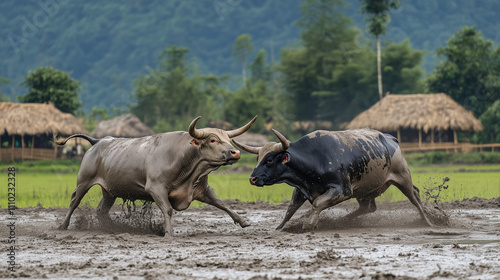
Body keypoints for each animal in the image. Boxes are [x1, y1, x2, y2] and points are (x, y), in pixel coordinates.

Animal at [234, 128, 434, 231]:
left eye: (269, 160)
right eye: (258, 158)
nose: (252, 178)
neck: (314, 157)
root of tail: (391, 138)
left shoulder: (342, 190)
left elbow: (317, 203)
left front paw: (309, 223)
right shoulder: (301, 189)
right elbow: (290, 209)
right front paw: (280, 227)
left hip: (403, 177)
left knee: (414, 197)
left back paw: (428, 221)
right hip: (365, 191)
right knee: (368, 208)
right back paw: (344, 221)